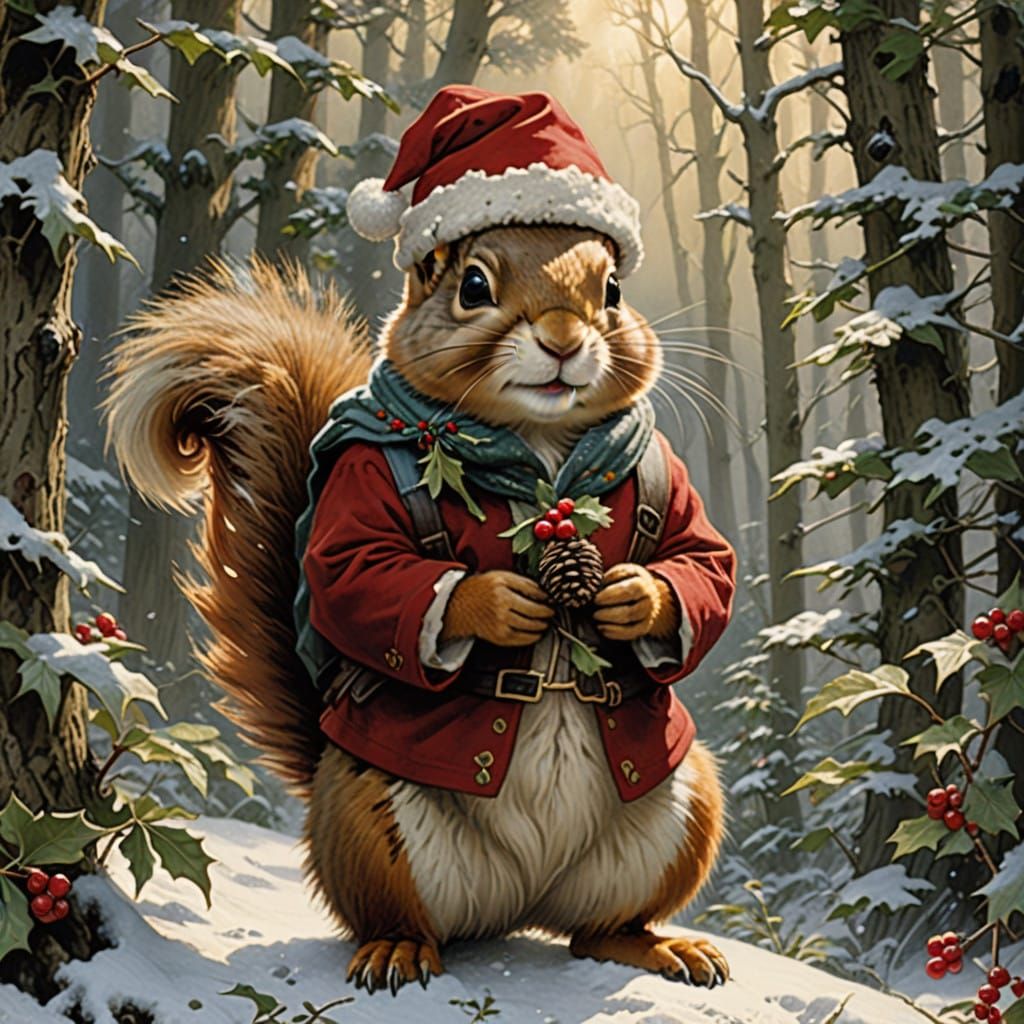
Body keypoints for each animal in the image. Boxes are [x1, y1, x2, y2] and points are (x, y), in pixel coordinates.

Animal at [104, 87, 736, 997]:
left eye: (612, 288)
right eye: (473, 284)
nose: (563, 338)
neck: (538, 449)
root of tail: (521, 905)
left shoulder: (669, 476)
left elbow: (702, 561)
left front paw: (635, 597)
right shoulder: (361, 486)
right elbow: (354, 573)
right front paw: (492, 602)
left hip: (682, 809)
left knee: (596, 930)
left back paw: (658, 946)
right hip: (374, 822)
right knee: (404, 915)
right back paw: (398, 950)